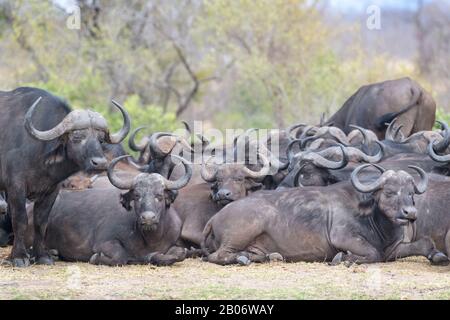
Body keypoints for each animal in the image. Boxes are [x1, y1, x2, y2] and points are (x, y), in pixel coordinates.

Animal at [0, 87, 130, 268]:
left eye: (101, 139)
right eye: (77, 137)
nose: (100, 163)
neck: (39, 151)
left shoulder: (52, 190)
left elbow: (41, 222)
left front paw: (42, 256)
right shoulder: (16, 187)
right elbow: (20, 220)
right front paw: (19, 257)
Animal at [40, 155, 192, 264]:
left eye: (159, 196)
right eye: (137, 195)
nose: (148, 218)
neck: (150, 238)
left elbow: (180, 254)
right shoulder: (103, 242)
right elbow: (120, 256)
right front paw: (96, 258)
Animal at [202, 164, 448, 266]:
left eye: (410, 193)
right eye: (388, 192)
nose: (410, 213)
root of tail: (214, 218)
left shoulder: (393, 248)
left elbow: (424, 243)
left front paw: (437, 256)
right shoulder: (343, 237)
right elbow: (373, 253)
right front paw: (343, 259)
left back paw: (263, 257)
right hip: (247, 228)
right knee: (217, 256)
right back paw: (241, 258)